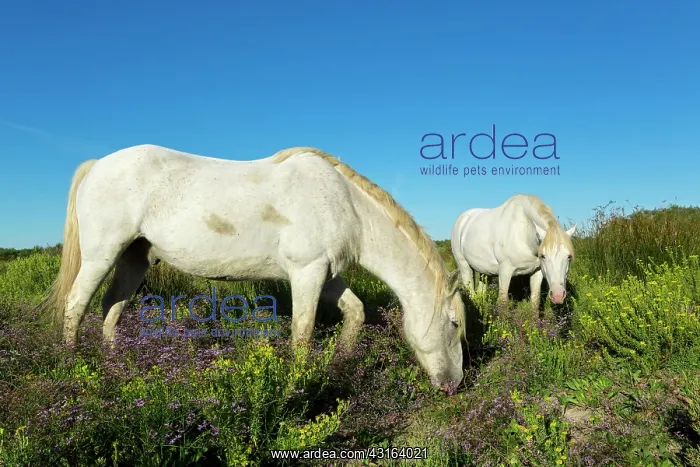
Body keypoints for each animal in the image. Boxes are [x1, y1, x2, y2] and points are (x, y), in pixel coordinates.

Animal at [38, 144, 467, 389]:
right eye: (454, 324)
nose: (454, 385)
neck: (346, 204)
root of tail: (97, 165)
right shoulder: (306, 274)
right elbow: (302, 336)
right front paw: (300, 388)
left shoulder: (326, 275)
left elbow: (356, 313)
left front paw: (340, 365)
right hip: (102, 255)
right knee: (76, 306)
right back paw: (73, 369)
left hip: (134, 259)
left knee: (110, 308)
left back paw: (117, 369)